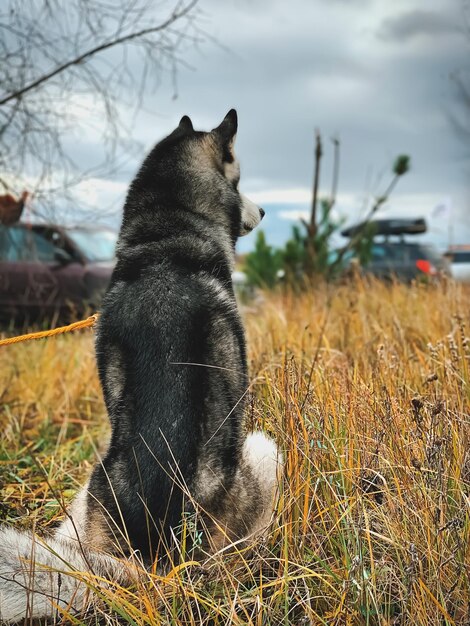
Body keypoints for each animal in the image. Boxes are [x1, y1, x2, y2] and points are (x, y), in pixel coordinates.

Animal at [0, 109, 280, 620]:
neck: (164, 245)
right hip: (262, 452)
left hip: (87, 496)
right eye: (239, 179)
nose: (266, 212)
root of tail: (157, 567)